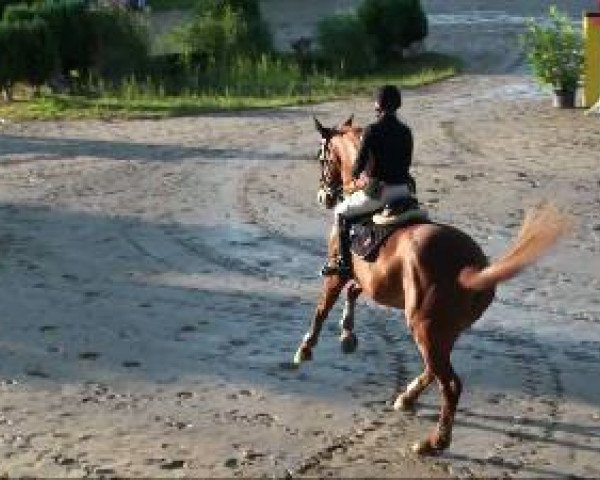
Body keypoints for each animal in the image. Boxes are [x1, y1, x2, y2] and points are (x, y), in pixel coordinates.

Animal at [296, 115, 572, 454]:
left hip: (424, 326)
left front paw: (305, 348)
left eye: (321, 158)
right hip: (440, 330)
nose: (324, 197)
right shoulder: (370, 281)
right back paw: (407, 398)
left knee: (450, 384)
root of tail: (470, 267)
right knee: (434, 369)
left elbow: (323, 307)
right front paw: (347, 335)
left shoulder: (338, 273)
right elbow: (352, 293)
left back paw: (435, 441)